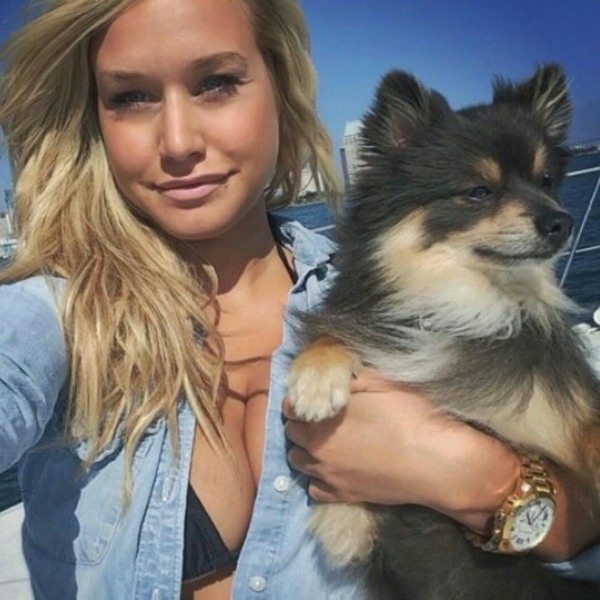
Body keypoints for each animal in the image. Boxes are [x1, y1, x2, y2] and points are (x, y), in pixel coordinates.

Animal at [287, 64, 600, 599]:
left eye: (546, 181)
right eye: (479, 192)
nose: (562, 220)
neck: (463, 303)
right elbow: (337, 333)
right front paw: (315, 385)